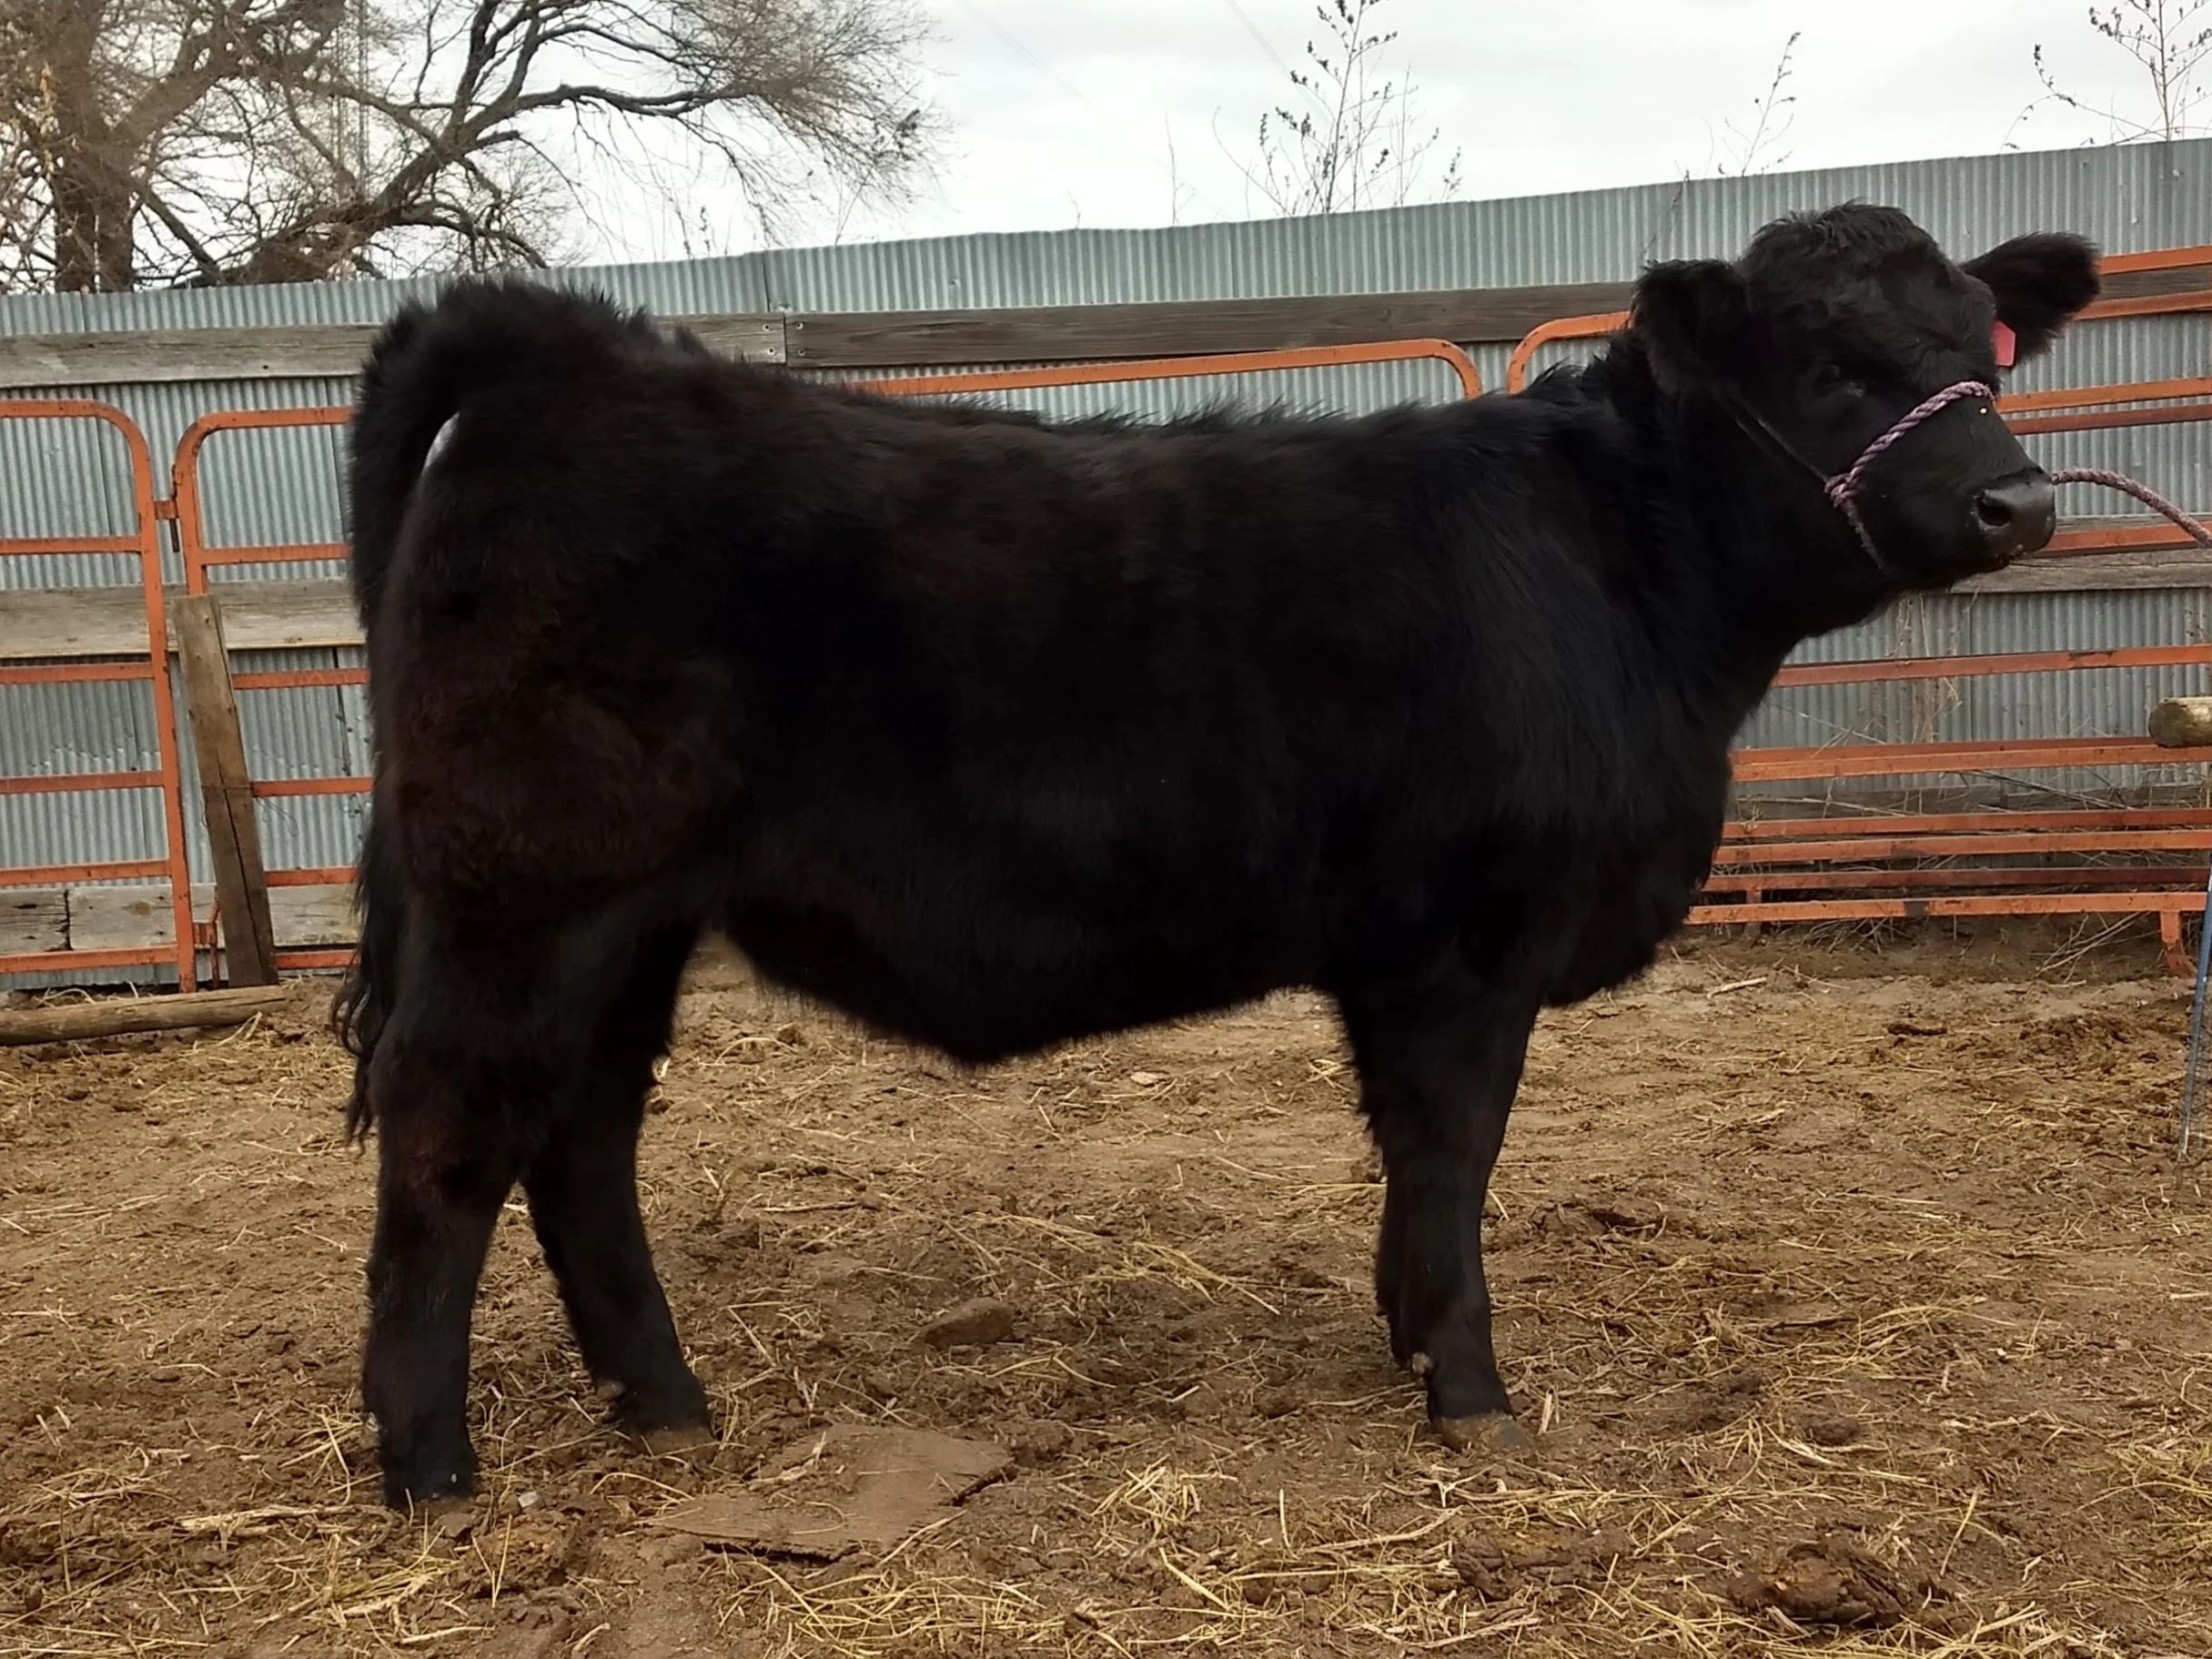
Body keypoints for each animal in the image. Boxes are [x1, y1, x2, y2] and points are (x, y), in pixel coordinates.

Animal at [335, 203, 2100, 1507]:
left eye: (1984, 350)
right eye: (1829, 364)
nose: (2017, 502)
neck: (1625, 579)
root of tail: (579, 351)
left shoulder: (1400, 953)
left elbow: (1415, 1160)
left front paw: (1409, 1341)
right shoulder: (1466, 941)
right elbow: (1454, 1153)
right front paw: (1471, 1390)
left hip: (630, 926)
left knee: (580, 1138)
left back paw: (666, 1401)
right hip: (528, 899)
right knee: (449, 1134)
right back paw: (431, 1465)